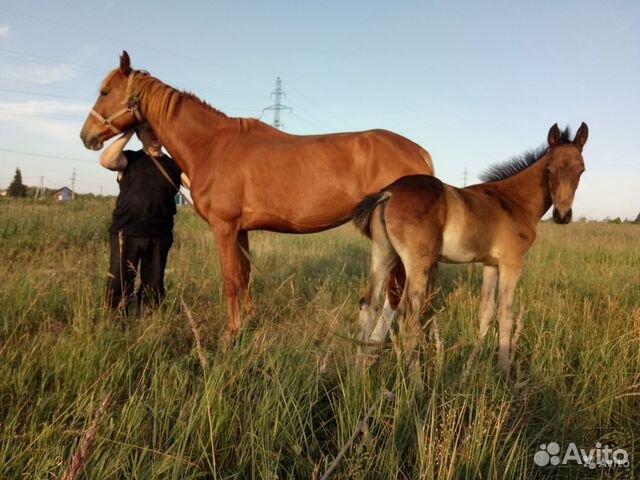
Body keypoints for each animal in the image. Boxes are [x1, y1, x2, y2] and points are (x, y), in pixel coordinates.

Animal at [77, 50, 432, 340]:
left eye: (105, 91)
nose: (86, 136)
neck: (211, 145)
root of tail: (420, 152)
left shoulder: (223, 227)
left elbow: (230, 278)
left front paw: (232, 333)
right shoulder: (240, 230)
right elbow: (245, 276)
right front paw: (249, 321)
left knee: (398, 291)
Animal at [356, 123, 592, 376]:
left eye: (581, 170)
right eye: (548, 169)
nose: (562, 215)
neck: (513, 201)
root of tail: (389, 192)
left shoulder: (490, 264)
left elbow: (486, 312)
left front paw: (469, 369)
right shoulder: (512, 262)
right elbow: (506, 314)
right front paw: (503, 371)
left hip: (383, 255)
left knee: (369, 305)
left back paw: (358, 375)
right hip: (418, 263)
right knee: (408, 316)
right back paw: (416, 382)